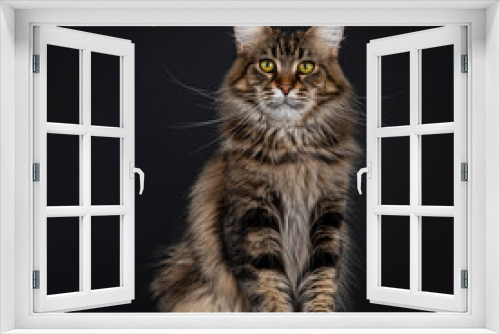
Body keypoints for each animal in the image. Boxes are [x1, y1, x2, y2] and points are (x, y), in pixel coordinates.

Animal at [150, 26, 362, 314]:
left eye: (306, 67)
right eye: (267, 65)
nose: (285, 87)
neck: (291, 151)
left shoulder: (328, 216)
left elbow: (322, 282)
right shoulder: (252, 218)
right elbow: (268, 287)